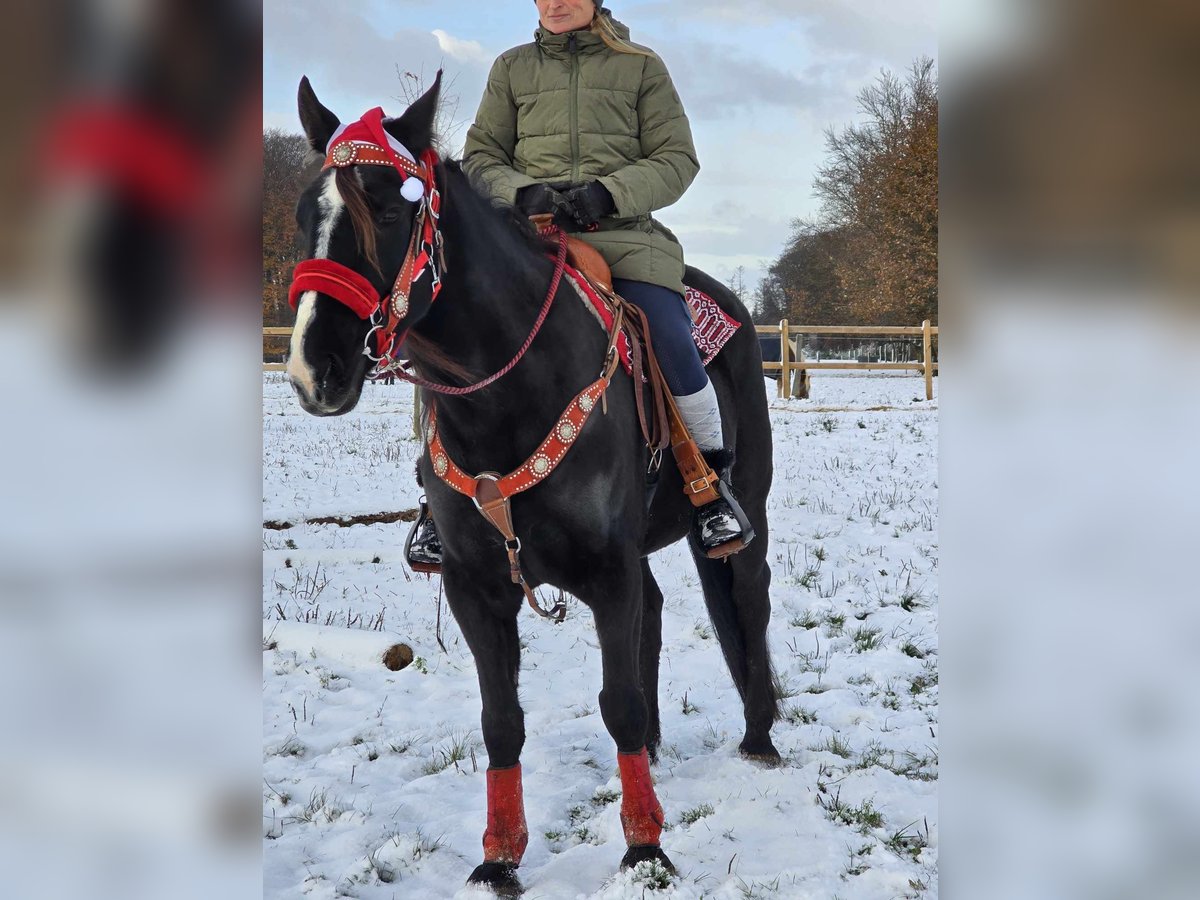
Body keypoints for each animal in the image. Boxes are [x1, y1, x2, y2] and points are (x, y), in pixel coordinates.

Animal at [286, 75, 782, 897]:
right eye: (304, 216)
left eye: (387, 211)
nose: (312, 368)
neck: (509, 395)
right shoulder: (476, 586)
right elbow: (501, 722)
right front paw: (499, 858)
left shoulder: (607, 571)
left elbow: (616, 700)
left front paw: (644, 849)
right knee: (656, 615)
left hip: (747, 519)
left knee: (747, 603)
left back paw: (760, 736)